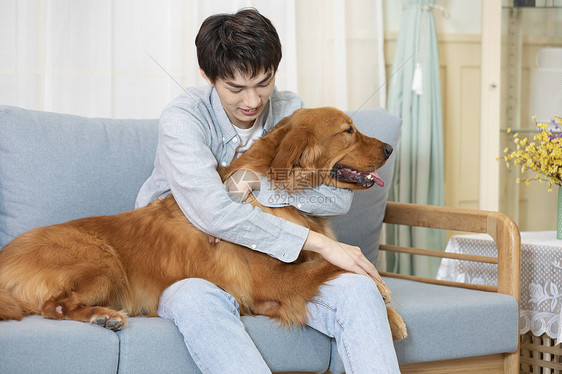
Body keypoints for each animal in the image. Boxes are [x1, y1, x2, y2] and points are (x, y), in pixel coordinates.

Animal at [0, 106, 404, 340]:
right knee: (53, 306)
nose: (390, 149)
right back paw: (103, 316)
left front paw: (393, 318)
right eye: (348, 130)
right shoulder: (271, 280)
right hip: (102, 260)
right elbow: (336, 263)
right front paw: (382, 288)